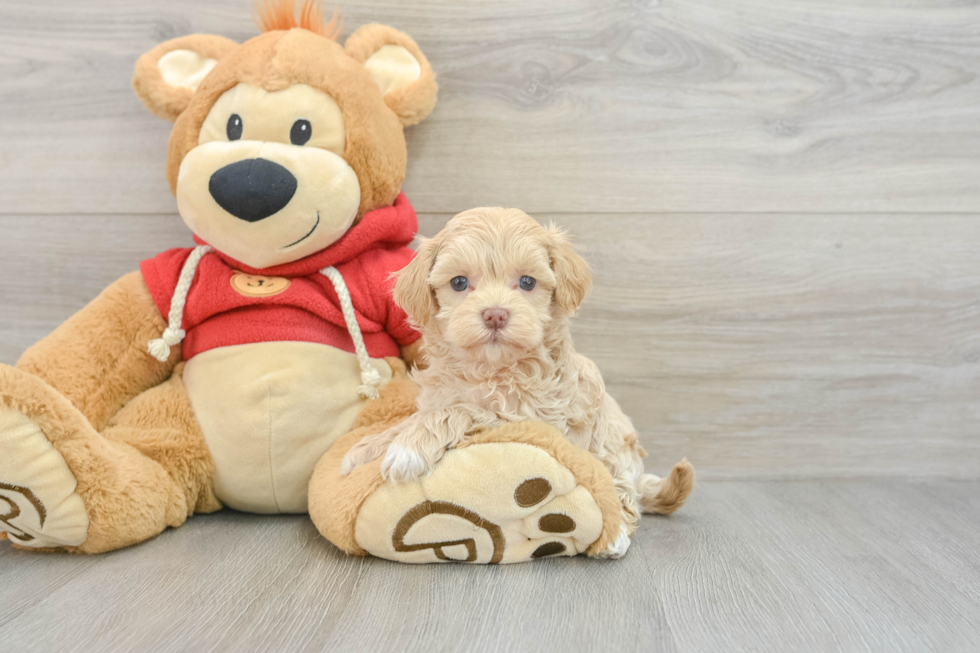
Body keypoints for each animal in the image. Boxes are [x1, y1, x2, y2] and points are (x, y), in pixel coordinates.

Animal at [344, 208, 696, 556]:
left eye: (527, 282)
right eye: (459, 282)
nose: (495, 314)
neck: (490, 369)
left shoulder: (532, 419)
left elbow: (461, 411)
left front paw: (408, 450)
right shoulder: (442, 396)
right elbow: (415, 418)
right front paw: (366, 449)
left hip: (614, 448)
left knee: (621, 493)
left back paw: (616, 534)